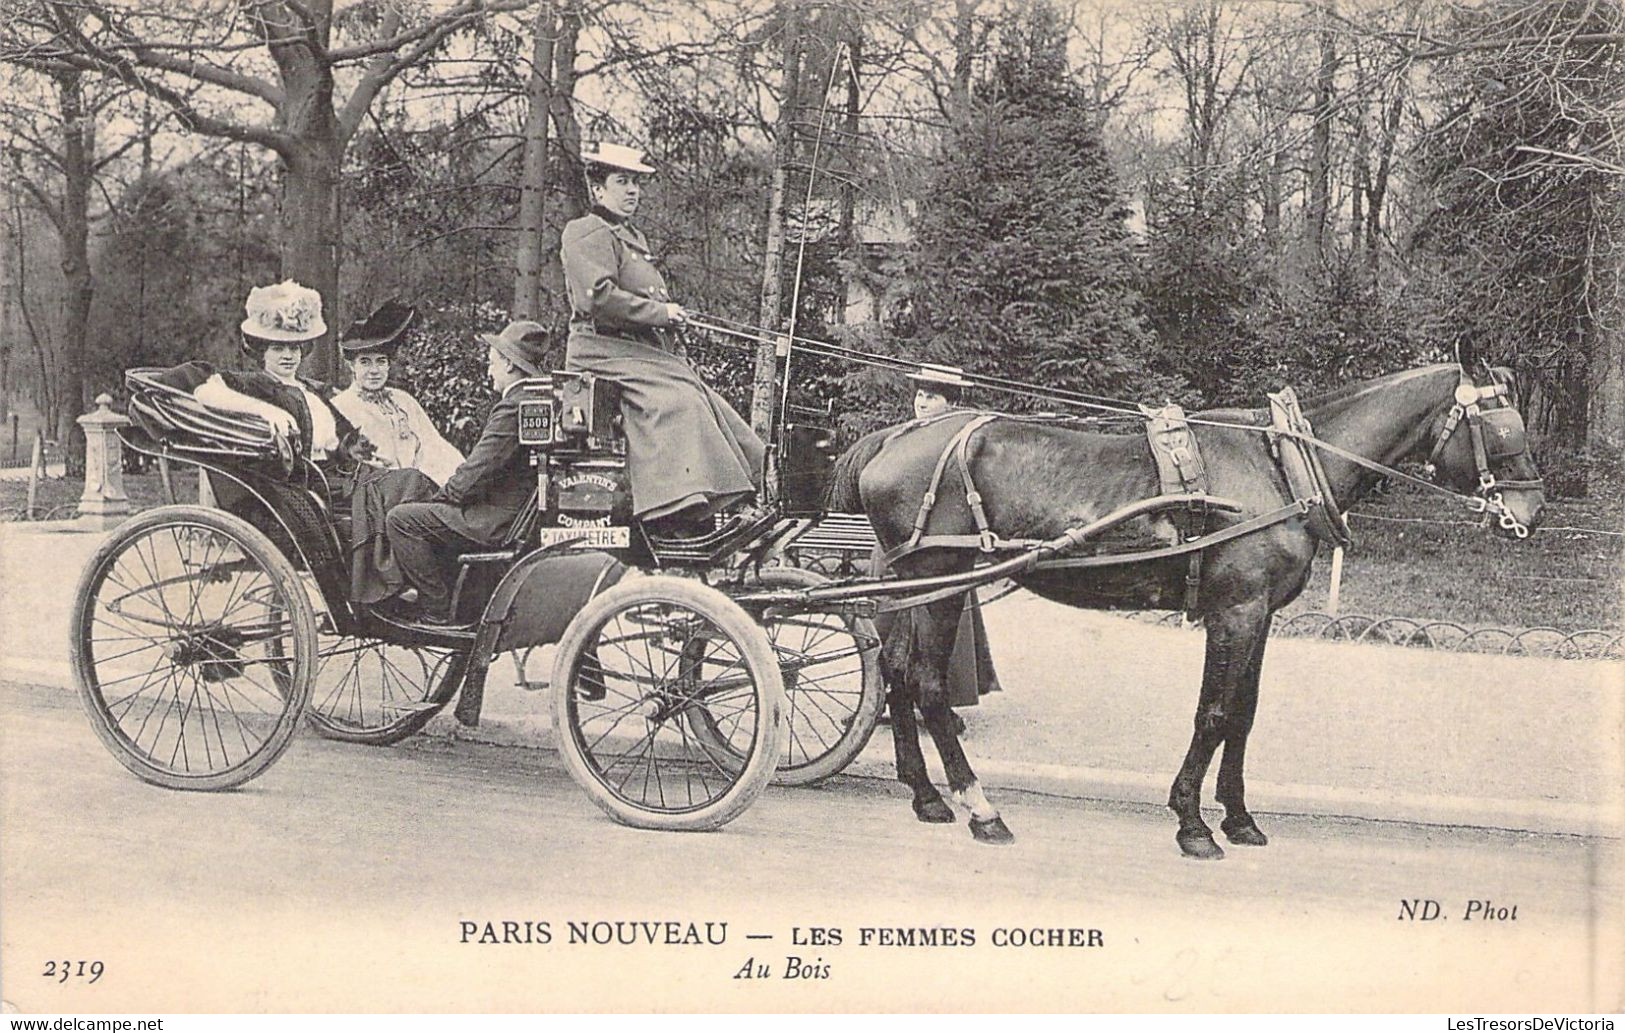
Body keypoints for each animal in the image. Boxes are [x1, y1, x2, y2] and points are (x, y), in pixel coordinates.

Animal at [832, 358, 1540, 857]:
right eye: (1502, 425)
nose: (1530, 510)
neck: (1281, 467)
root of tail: (895, 438)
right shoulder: (1235, 612)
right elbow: (1215, 713)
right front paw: (1192, 822)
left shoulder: (1262, 615)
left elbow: (1244, 716)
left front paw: (1240, 818)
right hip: (942, 583)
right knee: (927, 684)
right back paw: (981, 809)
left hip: (914, 585)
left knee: (895, 671)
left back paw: (926, 795)